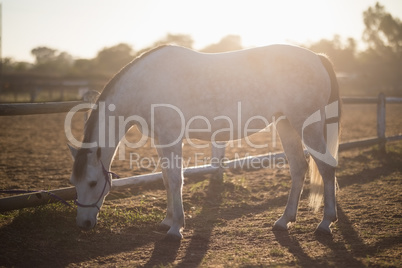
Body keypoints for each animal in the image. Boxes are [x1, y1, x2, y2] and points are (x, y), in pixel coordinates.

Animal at [67, 45, 340, 240]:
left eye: (93, 182)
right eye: (74, 183)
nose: (83, 224)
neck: (145, 85)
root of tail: (318, 57)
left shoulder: (172, 138)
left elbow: (176, 179)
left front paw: (176, 228)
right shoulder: (160, 140)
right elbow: (165, 178)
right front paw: (167, 221)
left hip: (306, 125)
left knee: (326, 167)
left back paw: (325, 224)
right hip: (286, 124)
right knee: (299, 168)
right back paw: (284, 221)